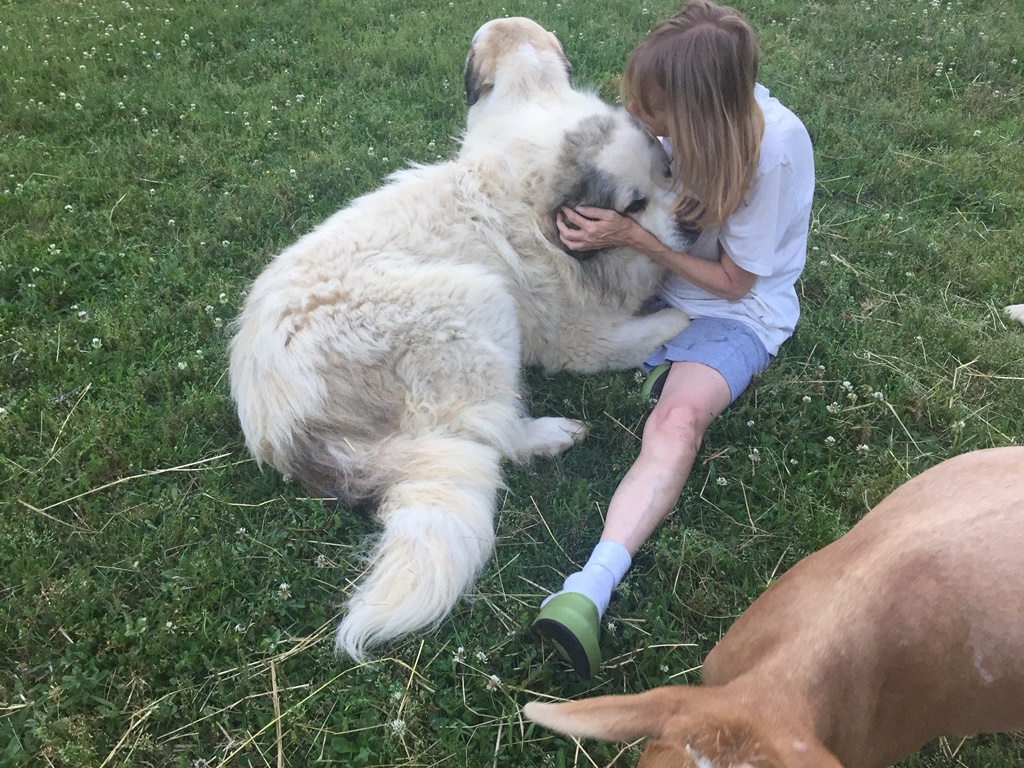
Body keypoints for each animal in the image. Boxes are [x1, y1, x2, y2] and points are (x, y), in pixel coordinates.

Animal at [229, 15, 700, 659]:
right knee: (493, 436)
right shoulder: (577, 337)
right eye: (634, 205)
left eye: (669, 173)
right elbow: (650, 326)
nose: (693, 226)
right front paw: (685, 318)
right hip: (477, 300)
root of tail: (274, 422)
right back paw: (551, 434)